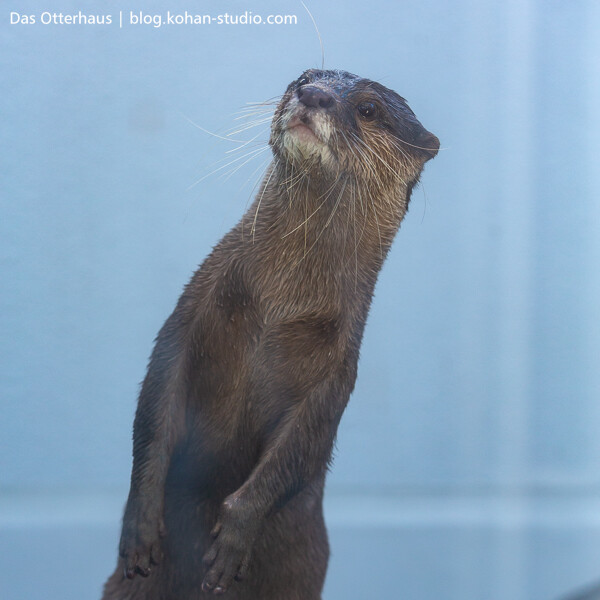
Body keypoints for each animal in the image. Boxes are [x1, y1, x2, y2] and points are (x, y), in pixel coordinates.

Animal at [102, 70, 440, 600]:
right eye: (303, 78)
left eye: (368, 108)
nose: (314, 95)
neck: (279, 307)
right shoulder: (184, 320)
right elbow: (155, 409)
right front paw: (139, 525)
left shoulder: (337, 376)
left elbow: (299, 451)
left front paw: (232, 542)